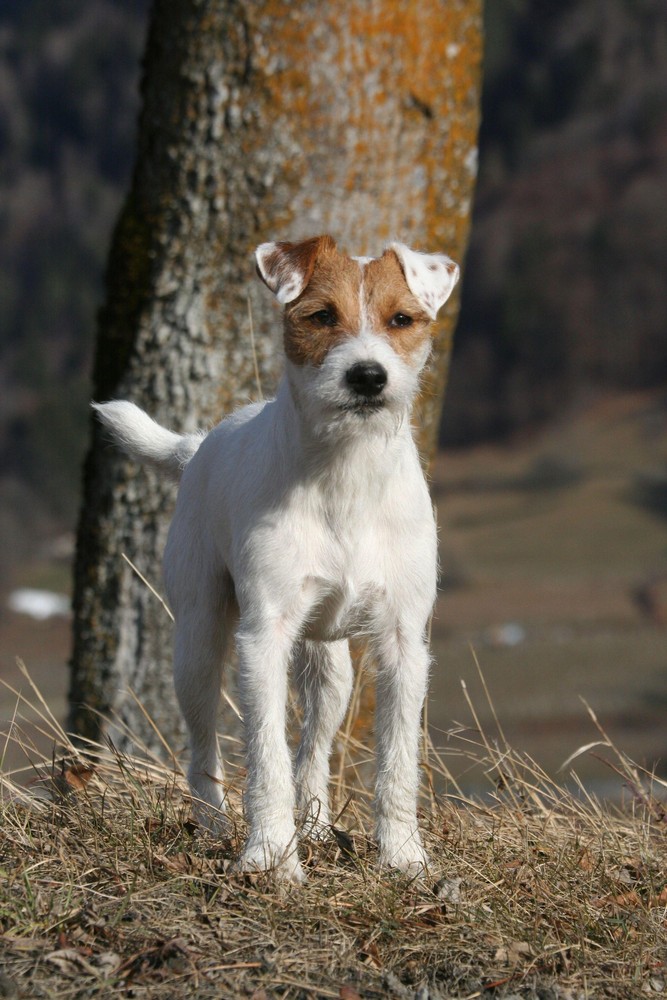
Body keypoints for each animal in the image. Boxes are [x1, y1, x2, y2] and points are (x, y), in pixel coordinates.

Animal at [95, 236, 460, 884]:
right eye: (321, 316)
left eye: (402, 319)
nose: (368, 376)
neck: (346, 475)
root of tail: (197, 447)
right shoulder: (262, 638)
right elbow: (265, 757)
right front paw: (269, 857)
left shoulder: (403, 643)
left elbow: (396, 765)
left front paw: (404, 859)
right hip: (197, 644)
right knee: (204, 748)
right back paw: (214, 825)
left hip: (328, 667)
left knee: (313, 747)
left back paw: (313, 825)